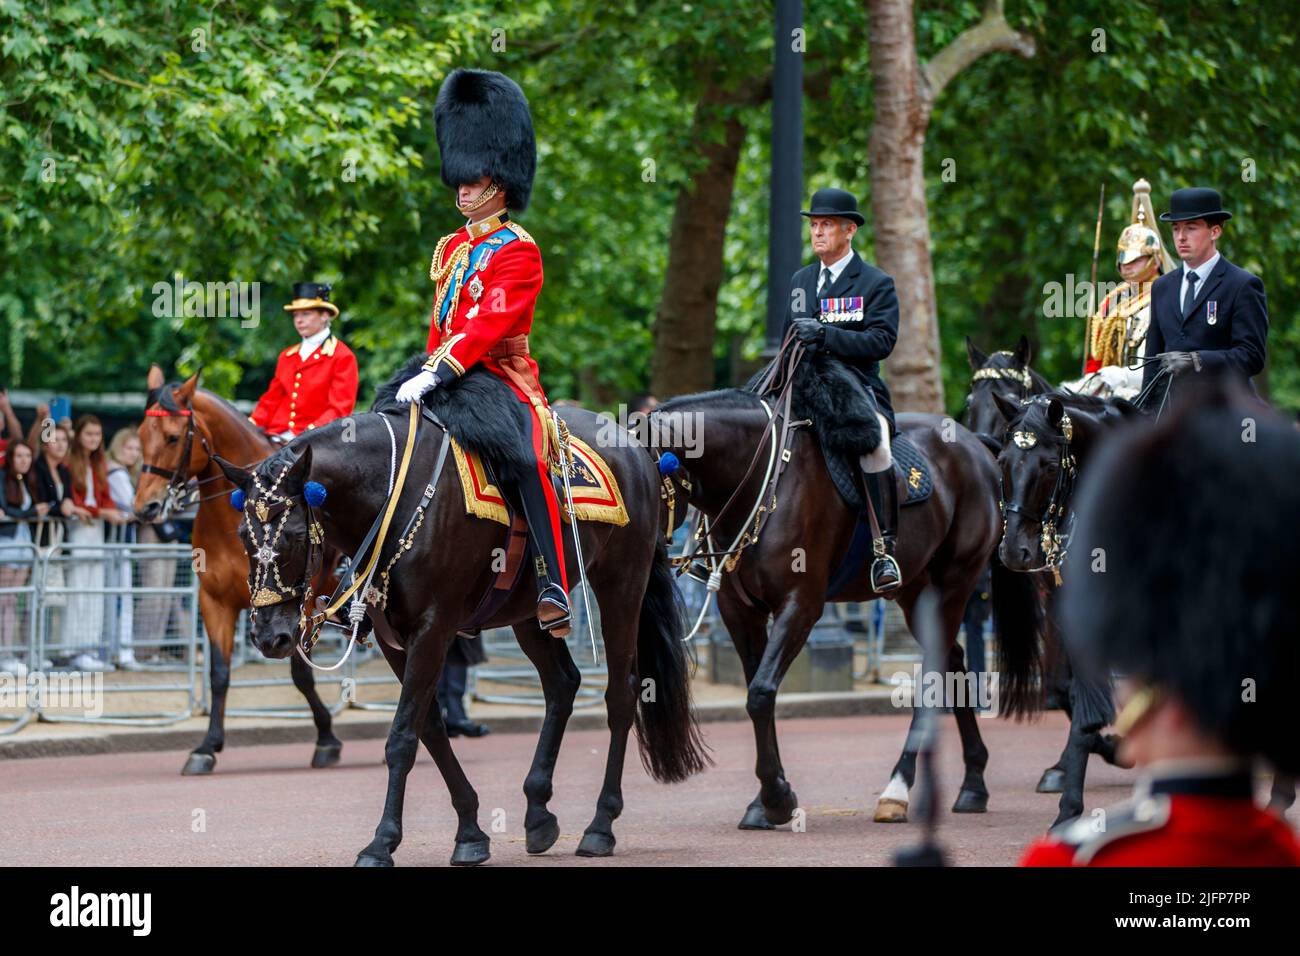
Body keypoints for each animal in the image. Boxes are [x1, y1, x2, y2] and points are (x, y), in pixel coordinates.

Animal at [135, 366, 345, 780]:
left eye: (172, 437)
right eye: (140, 435)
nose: (145, 507)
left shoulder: (299, 604)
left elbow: (300, 673)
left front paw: (327, 737)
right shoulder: (215, 601)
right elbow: (219, 674)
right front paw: (207, 747)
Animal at [211, 361, 707, 868]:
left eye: (292, 535)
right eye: (243, 536)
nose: (269, 636)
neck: (392, 492)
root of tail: (636, 446)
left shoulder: (433, 628)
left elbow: (402, 736)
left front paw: (382, 841)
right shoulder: (395, 638)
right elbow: (430, 728)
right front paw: (470, 831)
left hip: (621, 587)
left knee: (621, 694)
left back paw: (600, 825)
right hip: (526, 612)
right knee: (563, 684)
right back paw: (538, 812)